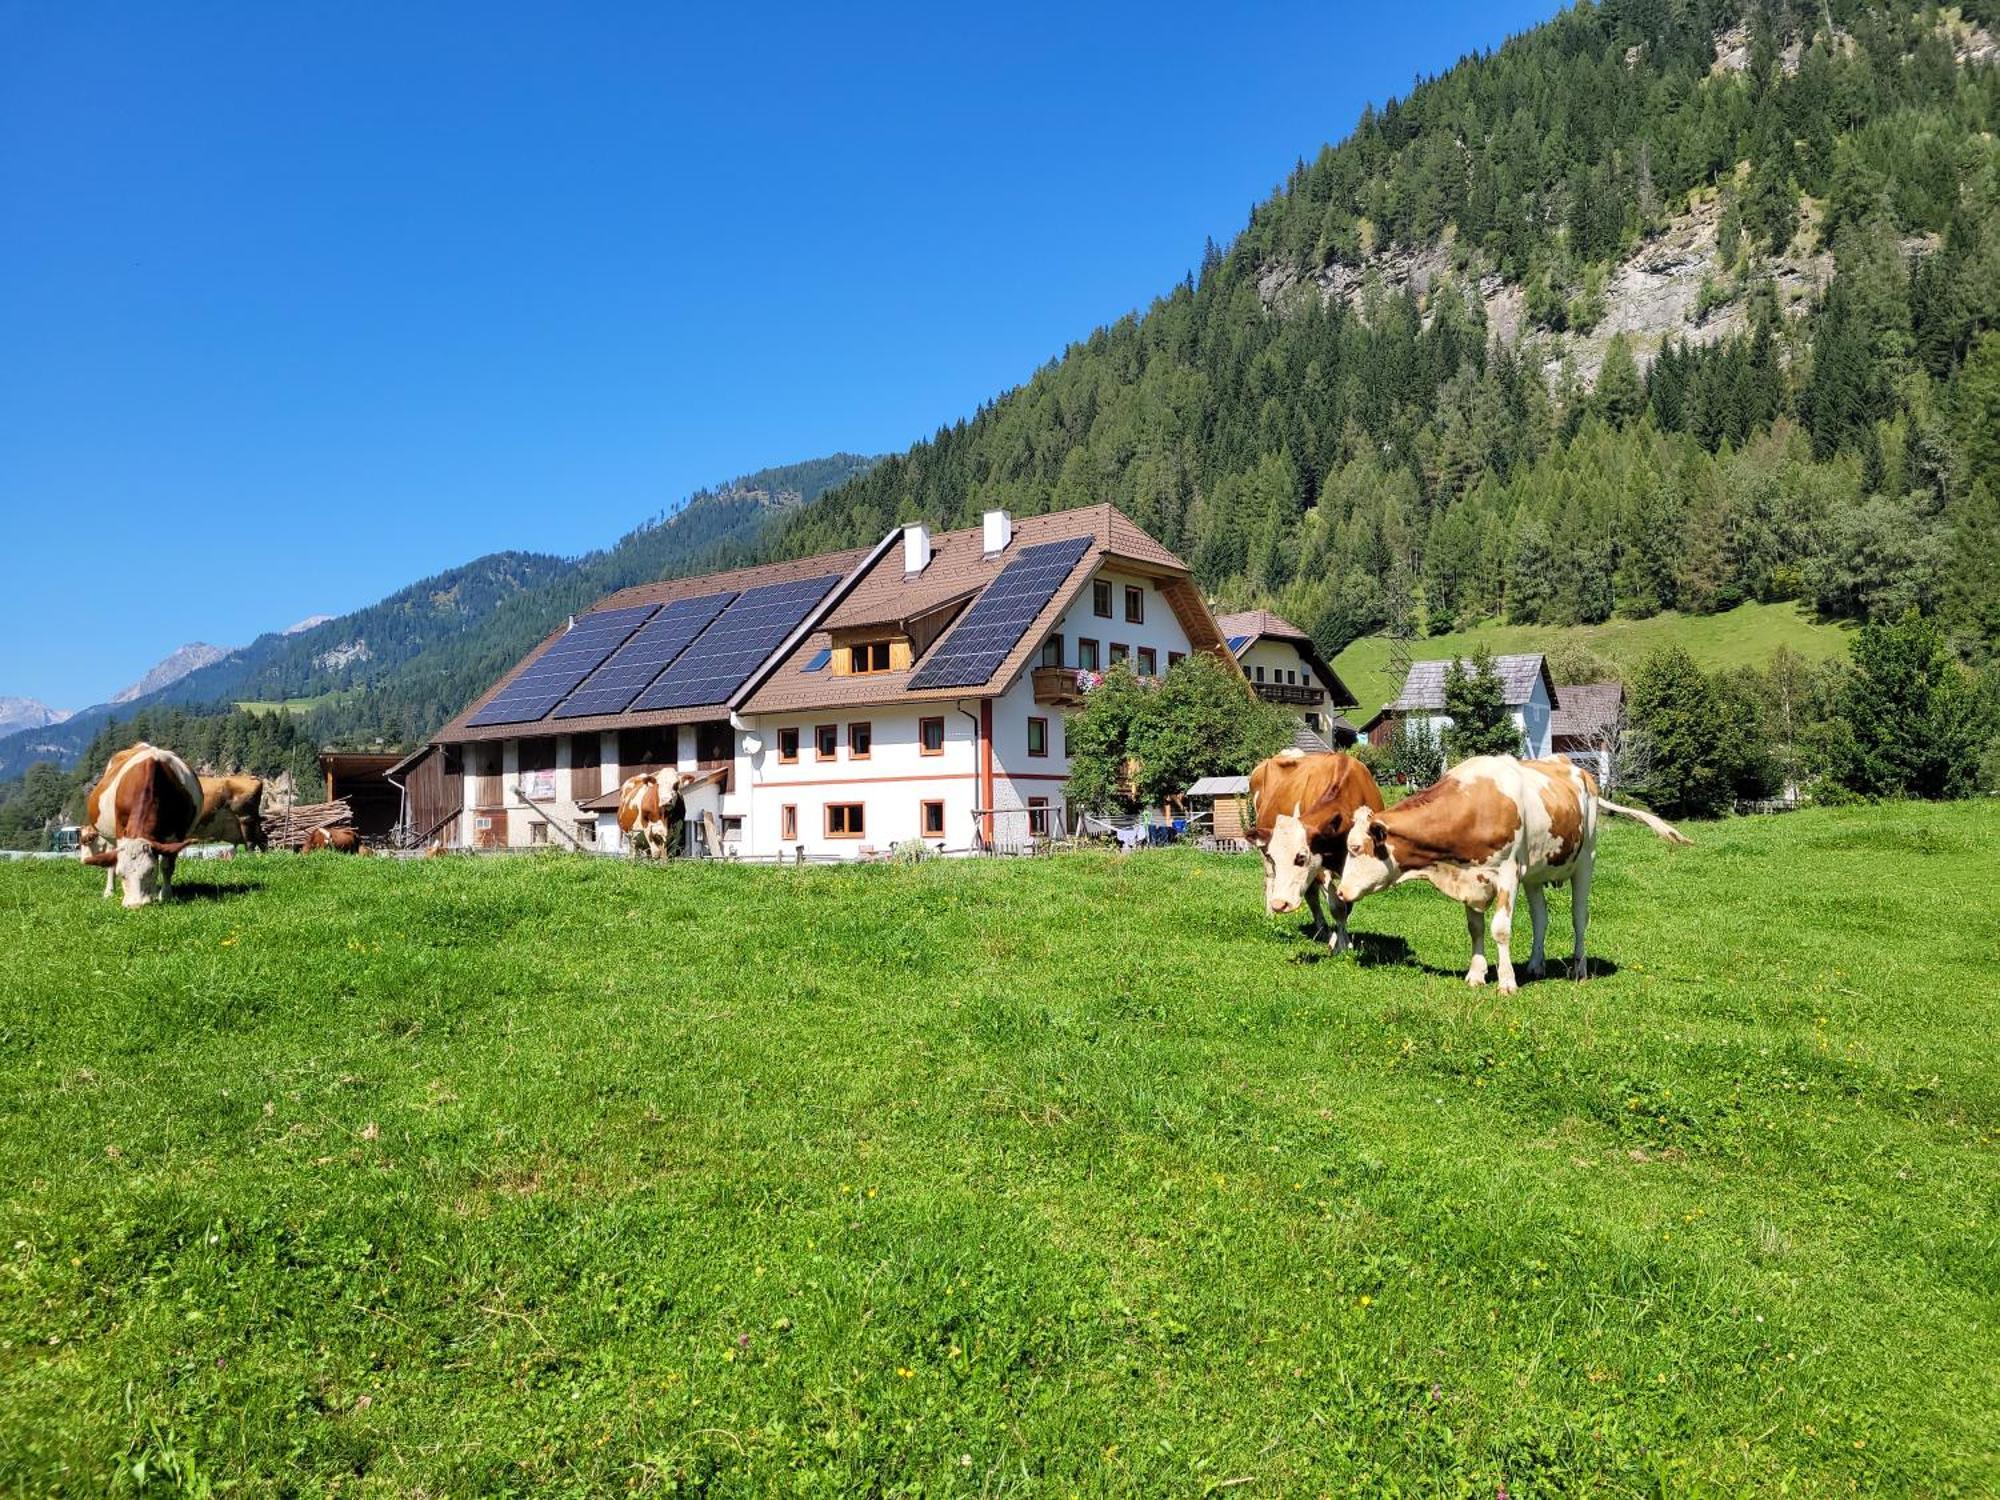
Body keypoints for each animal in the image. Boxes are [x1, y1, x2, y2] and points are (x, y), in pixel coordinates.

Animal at [80, 740, 203, 904]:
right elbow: (115, 861)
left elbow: (166, 865)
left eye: (151, 870)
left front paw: (165, 895)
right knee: (110, 861)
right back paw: (109, 892)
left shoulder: (177, 833)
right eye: (121, 874)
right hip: (110, 836)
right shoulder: (121, 829)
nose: (135, 904)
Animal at [1248, 748, 1392, 952]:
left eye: (1301, 857)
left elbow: (1347, 904)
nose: (1280, 904)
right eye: (1274, 857)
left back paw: (1323, 931)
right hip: (1265, 853)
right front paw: (1340, 945)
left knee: (1310, 894)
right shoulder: (1320, 866)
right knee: (1271, 881)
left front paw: (1343, 941)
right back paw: (1271, 917)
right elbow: (1337, 907)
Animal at [1328, 756, 1688, 992]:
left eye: (1356, 848)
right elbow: (1475, 928)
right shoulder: (1471, 878)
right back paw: (1536, 965)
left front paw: (1506, 981)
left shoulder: (1507, 874)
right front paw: (1476, 974)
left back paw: (1579, 968)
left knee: (1578, 918)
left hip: (1586, 860)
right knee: (1541, 918)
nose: (1341, 892)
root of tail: (1580, 770)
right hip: (1536, 874)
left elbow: (1500, 929)